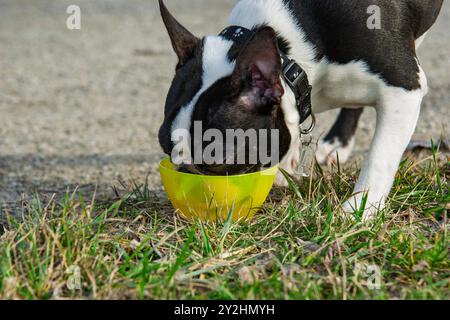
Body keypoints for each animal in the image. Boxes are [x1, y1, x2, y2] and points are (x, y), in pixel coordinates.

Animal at [158, 0, 442, 219]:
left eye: (221, 161)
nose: (187, 182)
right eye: (165, 146)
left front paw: (359, 210)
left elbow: (379, 157)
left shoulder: (403, 87)